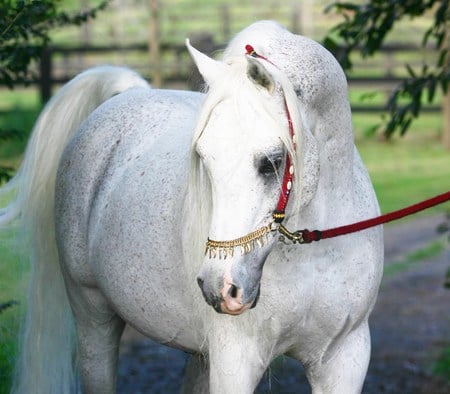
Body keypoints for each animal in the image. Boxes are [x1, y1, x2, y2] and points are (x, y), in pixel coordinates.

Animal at [2, 21, 384, 394]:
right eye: (204, 157)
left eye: (271, 162)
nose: (219, 287)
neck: (315, 254)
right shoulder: (236, 361)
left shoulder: (344, 357)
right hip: (92, 317)